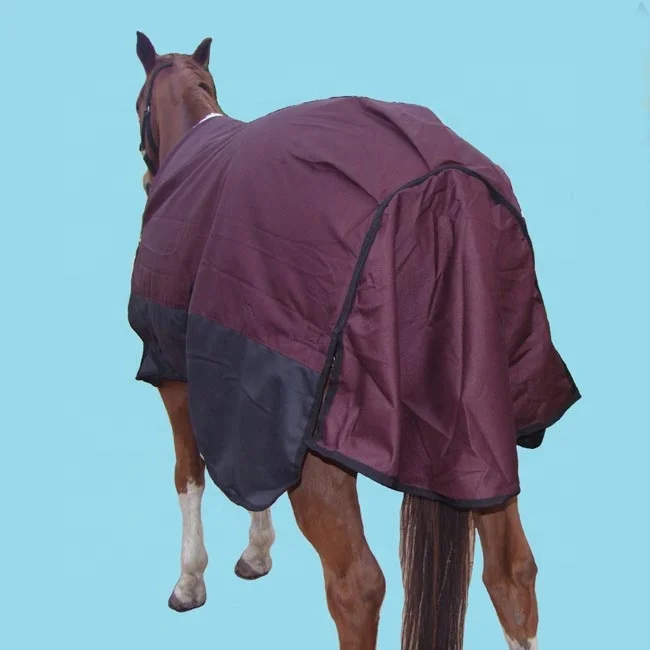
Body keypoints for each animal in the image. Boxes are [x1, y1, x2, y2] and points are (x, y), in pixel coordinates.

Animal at [129, 31, 580, 650]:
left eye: (139, 106)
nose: (148, 179)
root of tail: (440, 182)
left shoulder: (175, 374)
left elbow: (188, 474)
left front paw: (189, 582)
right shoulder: (240, 407)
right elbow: (239, 477)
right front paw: (255, 554)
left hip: (324, 455)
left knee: (357, 586)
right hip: (484, 444)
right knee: (512, 573)